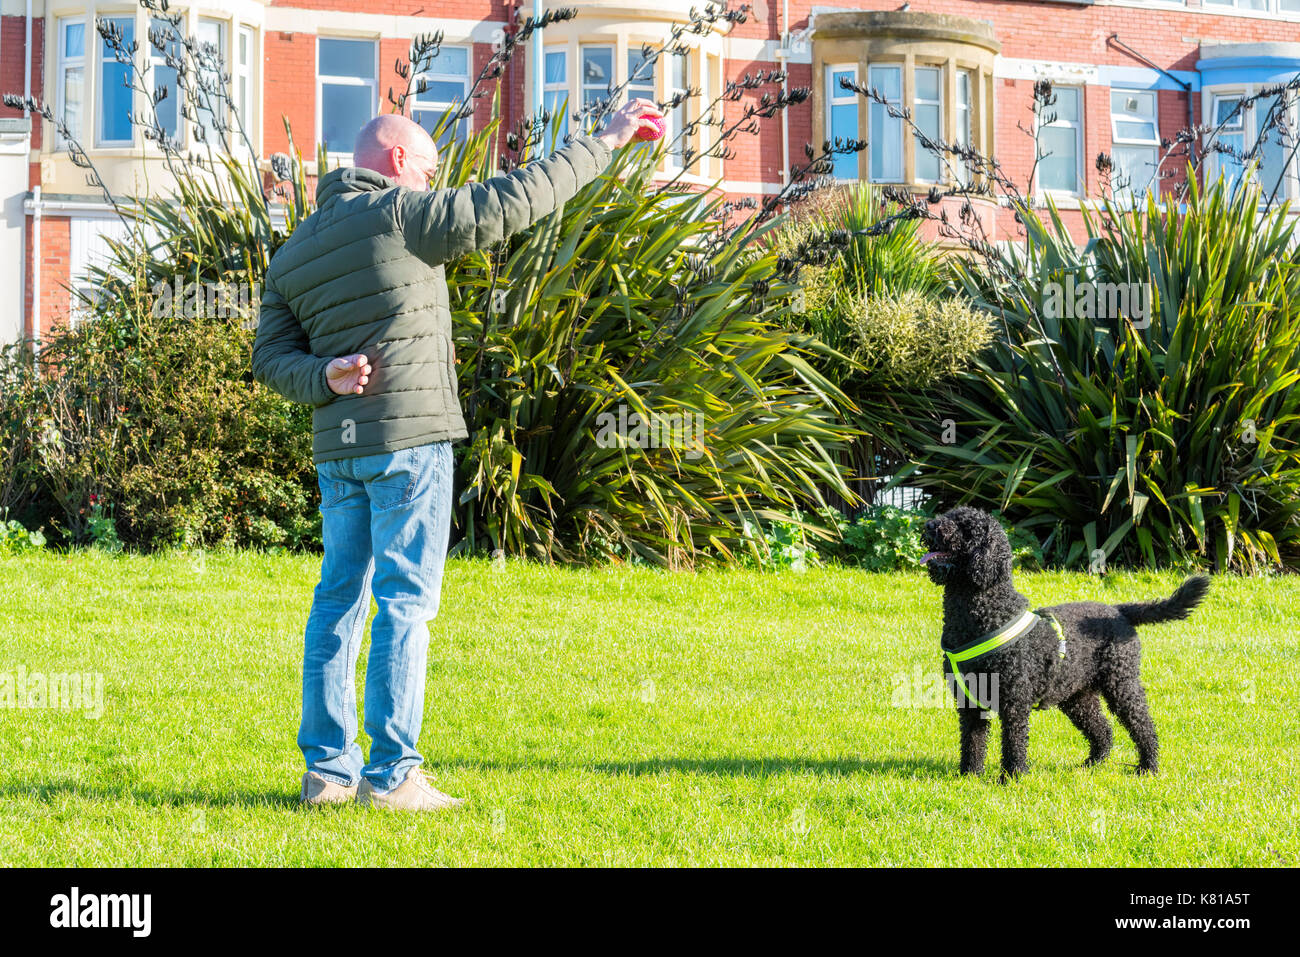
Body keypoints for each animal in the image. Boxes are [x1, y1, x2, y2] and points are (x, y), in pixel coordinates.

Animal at [925, 504, 1206, 780]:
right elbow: (972, 740)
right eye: (949, 515)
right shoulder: (968, 701)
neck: (987, 611)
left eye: (965, 527)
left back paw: (1148, 766)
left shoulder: (1015, 701)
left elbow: (1014, 741)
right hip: (1077, 696)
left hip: (1121, 684)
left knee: (1143, 725)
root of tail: (1119, 611)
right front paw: (969, 775)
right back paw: (1093, 763)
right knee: (1102, 729)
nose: (929, 526)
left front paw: (1012, 777)